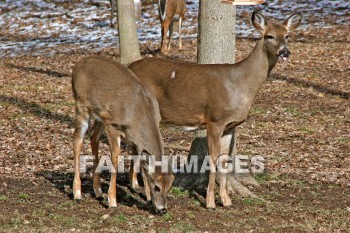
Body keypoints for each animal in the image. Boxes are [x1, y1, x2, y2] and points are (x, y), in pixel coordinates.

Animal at [71, 56, 175, 213]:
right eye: (157, 186)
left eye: (169, 187)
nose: (163, 209)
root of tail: (76, 67)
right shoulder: (113, 126)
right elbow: (115, 159)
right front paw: (112, 200)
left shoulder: (134, 140)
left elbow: (143, 163)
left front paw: (147, 197)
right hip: (81, 105)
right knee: (77, 140)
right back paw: (77, 193)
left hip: (101, 115)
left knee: (93, 136)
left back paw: (98, 191)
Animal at [127, 11, 302, 208]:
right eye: (269, 36)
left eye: (287, 36)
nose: (285, 51)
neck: (240, 85)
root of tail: (128, 66)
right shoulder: (215, 120)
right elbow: (213, 159)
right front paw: (210, 202)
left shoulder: (230, 125)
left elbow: (225, 160)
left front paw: (226, 200)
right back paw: (147, 194)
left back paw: (135, 185)